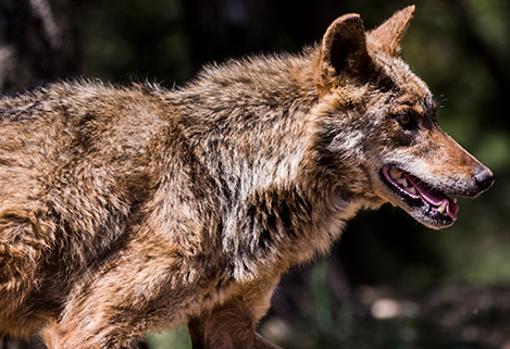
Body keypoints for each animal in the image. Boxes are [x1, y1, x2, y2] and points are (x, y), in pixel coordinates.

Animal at [0, 5, 494, 348]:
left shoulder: (226, 323)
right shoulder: (89, 326)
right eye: (407, 121)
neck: (226, 171)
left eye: (433, 116)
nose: (486, 178)